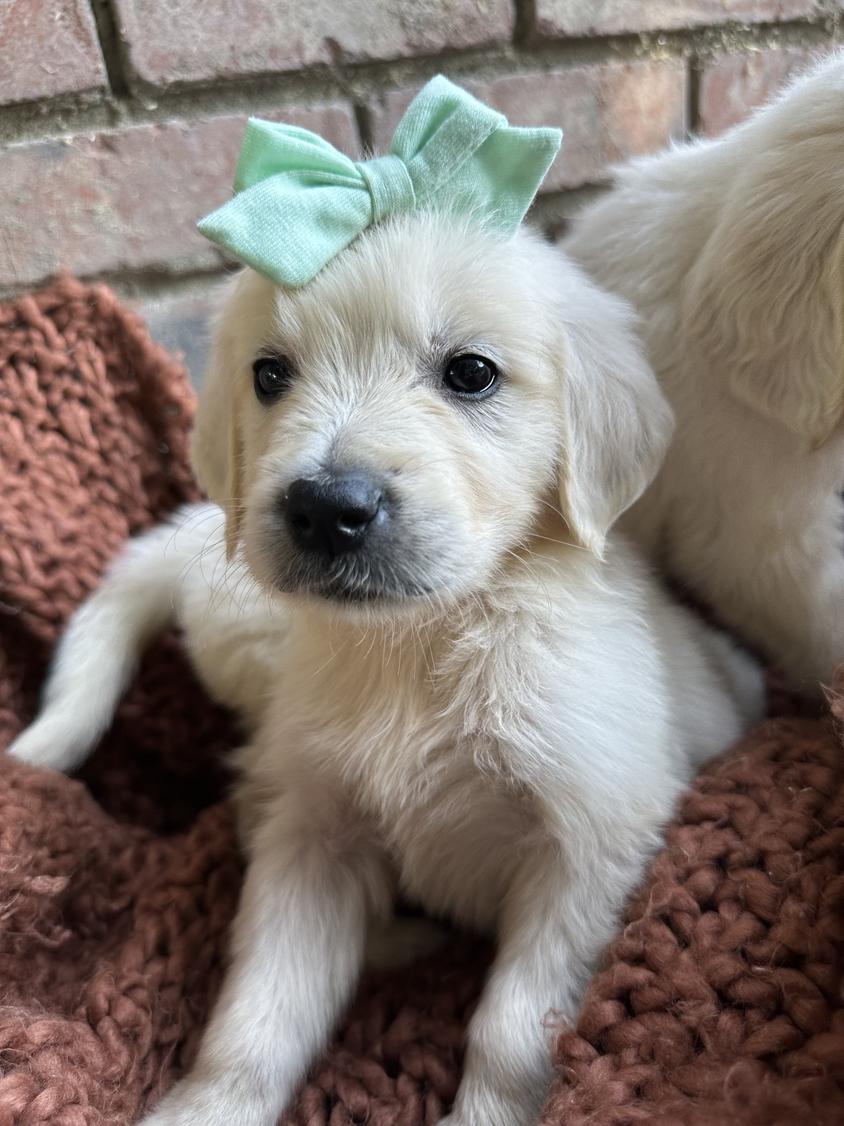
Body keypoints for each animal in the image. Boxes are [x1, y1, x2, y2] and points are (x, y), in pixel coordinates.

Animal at [8, 212, 765, 1126]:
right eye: (270, 374)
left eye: (471, 372)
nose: (326, 508)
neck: (423, 642)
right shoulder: (313, 835)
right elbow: (258, 1013)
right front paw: (207, 1107)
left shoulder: (590, 847)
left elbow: (513, 1031)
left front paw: (490, 1117)